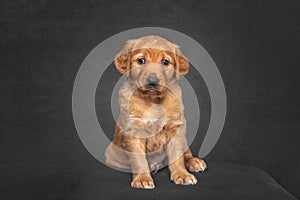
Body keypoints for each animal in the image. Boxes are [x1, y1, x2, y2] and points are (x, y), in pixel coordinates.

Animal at [105, 34, 206, 189]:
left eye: (165, 62)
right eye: (141, 60)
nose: (153, 81)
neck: (153, 100)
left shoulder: (175, 128)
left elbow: (177, 156)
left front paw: (181, 175)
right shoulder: (134, 130)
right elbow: (139, 160)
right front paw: (142, 179)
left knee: (186, 152)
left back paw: (195, 161)